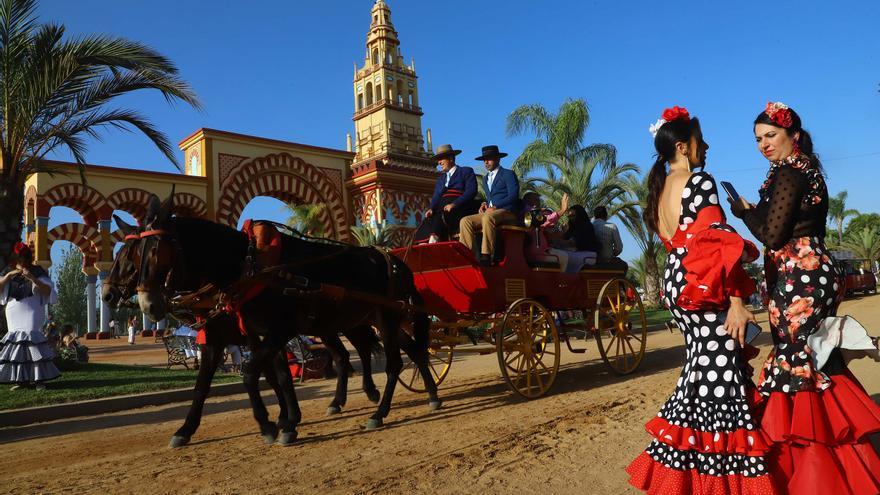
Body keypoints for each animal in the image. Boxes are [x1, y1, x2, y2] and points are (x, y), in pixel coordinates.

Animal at [101, 207, 384, 448]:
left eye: (131, 256)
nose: (107, 294)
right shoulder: (229, 338)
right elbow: (213, 384)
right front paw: (185, 430)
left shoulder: (269, 333)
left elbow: (263, 374)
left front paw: (276, 422)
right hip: (331, 325)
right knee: (344, 355)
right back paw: (340, 401)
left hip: (355, 320)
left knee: (362, 349)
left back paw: (370, 392)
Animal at [132, 193, 440, 442]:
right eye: (137, 253)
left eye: (158, 252)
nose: (148, 305)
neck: (250, 265)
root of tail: (397, 262)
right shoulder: (256, 334)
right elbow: (268, 376)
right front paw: (286, 420)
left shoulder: (278, 330)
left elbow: (251, 374)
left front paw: (271, 426)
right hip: (373, 319)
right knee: (403, 352)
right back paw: (431, 394)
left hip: (386, 318)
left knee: (393, 363)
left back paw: (379, 412)